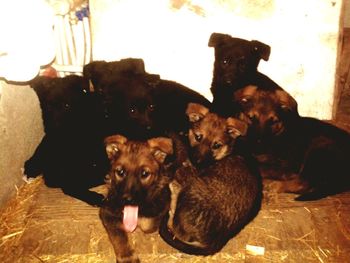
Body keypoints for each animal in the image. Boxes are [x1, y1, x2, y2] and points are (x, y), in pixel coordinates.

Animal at [159, 102, 262, 256]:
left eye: (216, 145)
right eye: (198, 137)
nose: (196, 162)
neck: (229, 150)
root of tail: (215, 242)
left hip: (190, 188)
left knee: (173, 225)